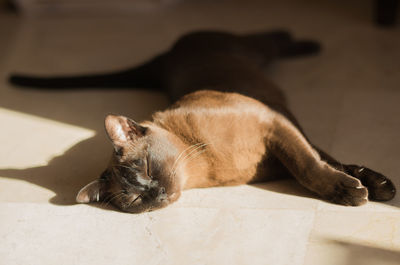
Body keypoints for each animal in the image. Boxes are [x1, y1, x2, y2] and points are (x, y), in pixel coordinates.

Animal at [7, 29, 396, 211]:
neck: (204, 165)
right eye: (133, 199)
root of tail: (165, 58)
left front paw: (358, 188)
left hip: (255, 52)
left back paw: (310, 44)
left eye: (146, 167)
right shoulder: (282, 143)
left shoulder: (275, 124)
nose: (155, 192)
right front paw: (363, 187)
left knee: (275, 39)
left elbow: (313, 166)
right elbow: (319, 163)